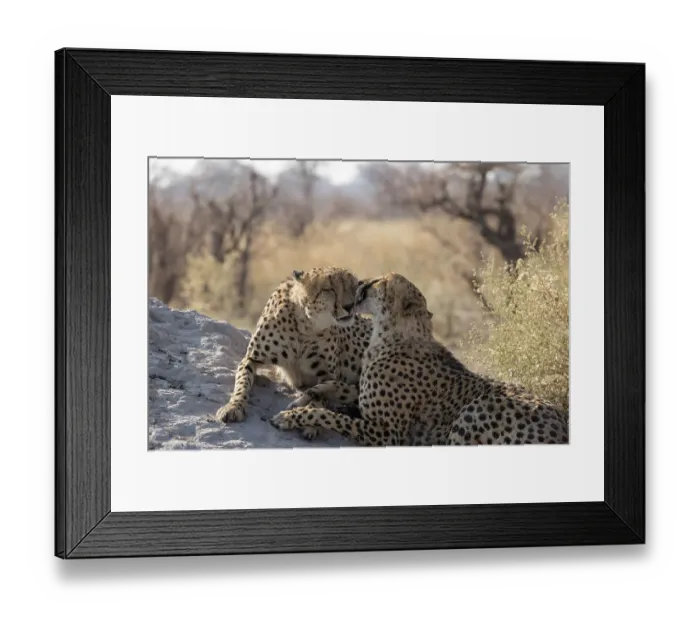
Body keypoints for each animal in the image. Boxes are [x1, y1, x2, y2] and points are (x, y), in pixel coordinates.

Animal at [271, 272, 569, 447]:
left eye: (378, 282)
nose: (360, 282)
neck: (390, 336)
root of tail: (561, 423)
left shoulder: (389, 434)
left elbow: (332, 416)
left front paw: (293, 416)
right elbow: (337, 387)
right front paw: (305, 397)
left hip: (470, 414)